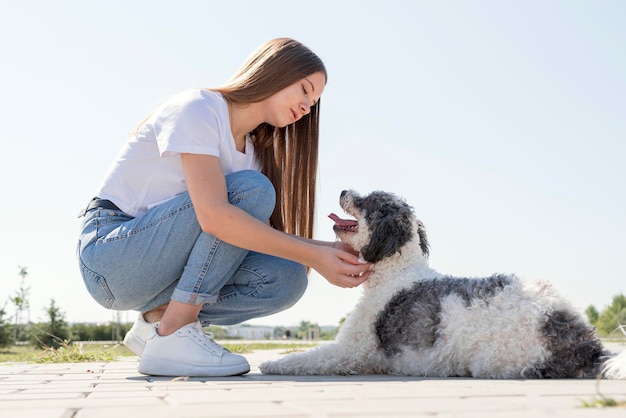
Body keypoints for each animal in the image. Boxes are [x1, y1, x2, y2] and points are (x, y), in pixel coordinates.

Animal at [258, 189, 624, 378]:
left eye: (368, 202)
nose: (344, 191)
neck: (397, 270)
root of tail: (585, 343)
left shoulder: (352, 351)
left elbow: (307, 357)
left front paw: (272, 363)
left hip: (496, 357)